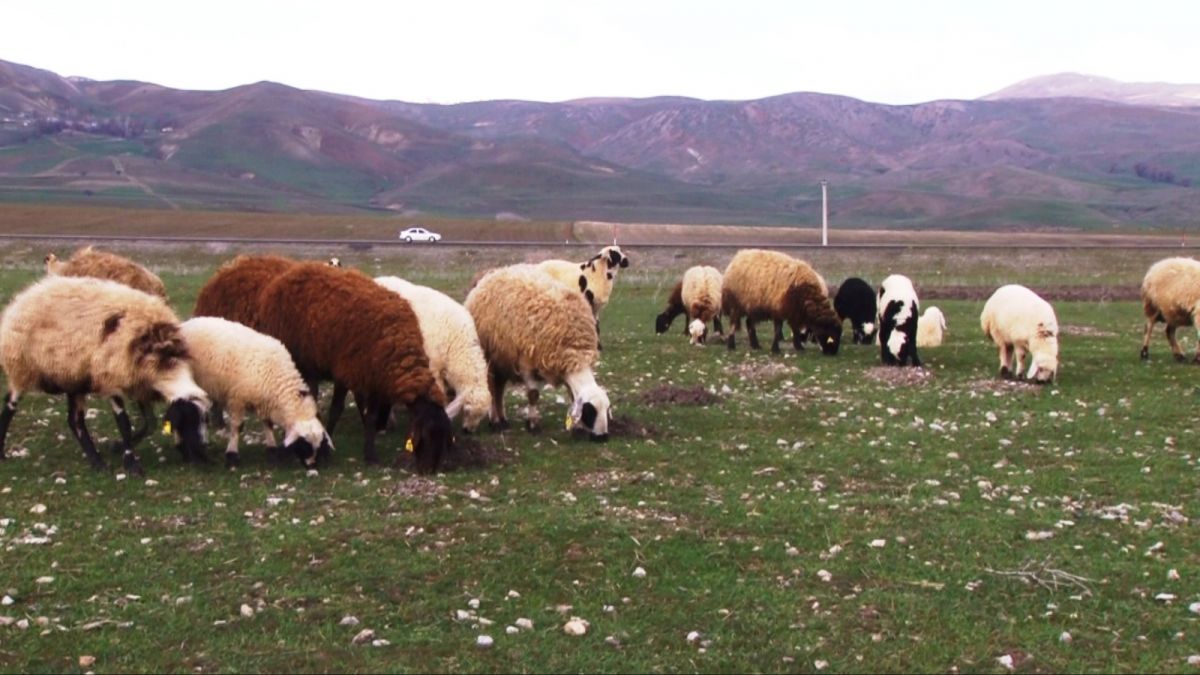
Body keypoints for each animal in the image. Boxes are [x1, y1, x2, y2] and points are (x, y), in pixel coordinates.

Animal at [0, 273, 211, 473]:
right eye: (190, 419)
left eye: (205, 419)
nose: (203, 448)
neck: (164, 364)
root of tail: (24, 297)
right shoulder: (111, 378)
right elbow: (124, 423)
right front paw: (131, 464)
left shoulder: (138, 383)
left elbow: (150, 422)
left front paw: (117, 447)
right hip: (22, 367)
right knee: (10, 406)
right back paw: (3, 452)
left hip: (73, 377)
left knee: (75, 421)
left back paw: (97, 461)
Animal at [175, 317, 333, 466]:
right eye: (304, 446)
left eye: (318, 447)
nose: (311, 465)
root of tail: (186, 324)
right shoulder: (237, 399)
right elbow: (237, 427)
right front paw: (232, 455)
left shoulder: (265, 401)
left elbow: (268, 424)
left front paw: (271, 448)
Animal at [255, 260, 451, 470]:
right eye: (427, 435)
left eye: (444, 438)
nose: (430, 470)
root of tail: (287, 275)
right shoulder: (345, 372)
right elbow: (336, 409)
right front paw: (327, 443)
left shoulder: (373, 379)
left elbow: (371, 416)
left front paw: (370, 453)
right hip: (299, 358)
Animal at [458, 260, 609, 439]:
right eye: (590, 412)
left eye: (607, 410)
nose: (603, 437)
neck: (575, 348)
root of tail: (495, 273)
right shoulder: (527, 363)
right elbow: (533, 395)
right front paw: (533, 424)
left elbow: (572, 396)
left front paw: (577, 427)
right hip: (489, 357)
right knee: (492, 389)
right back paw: (494, 421)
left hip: (503, 357)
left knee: (499, 389)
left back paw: (503, 419)